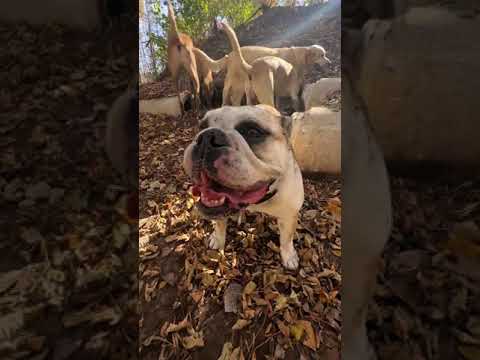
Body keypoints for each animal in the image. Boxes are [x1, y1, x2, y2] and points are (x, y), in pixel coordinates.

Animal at [184, 105, 304, 270]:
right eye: (202, 126)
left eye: (253, 132)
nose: (207, 136)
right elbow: (219, 224)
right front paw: (218, 239)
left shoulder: (288, 216)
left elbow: (286, 239)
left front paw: (289, 256)